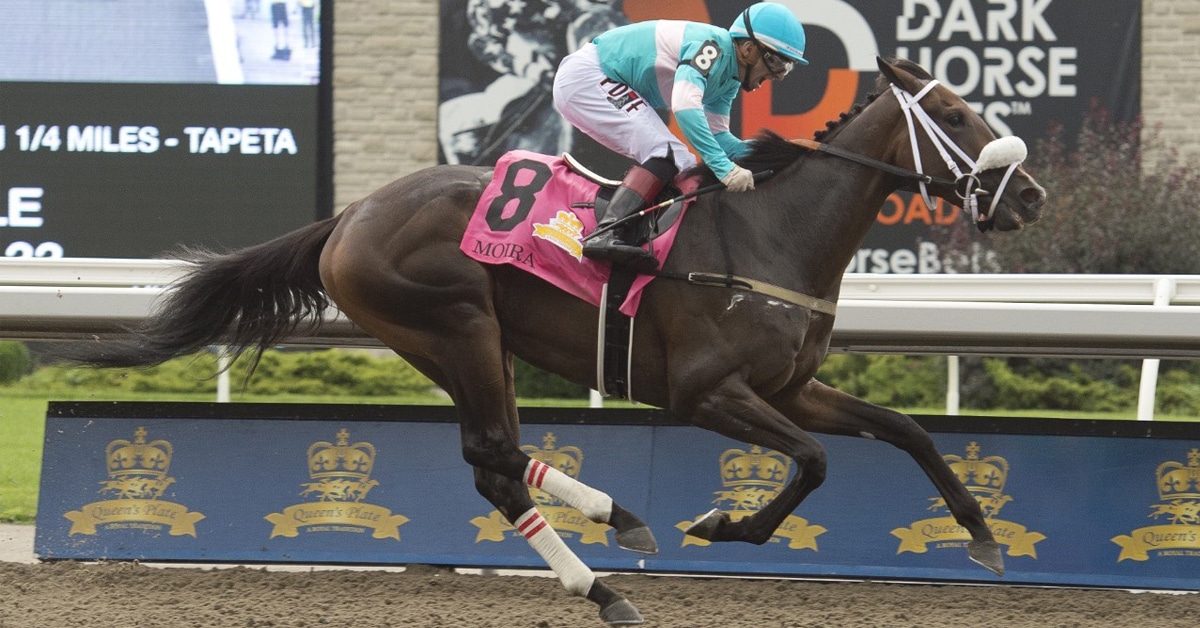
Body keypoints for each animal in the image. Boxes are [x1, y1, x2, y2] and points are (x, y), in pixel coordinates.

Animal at [61, 57, 1045, 625]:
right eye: (958, 116)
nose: (1031, 197)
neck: (773, 233)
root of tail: (350, 213)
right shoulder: (707, 393)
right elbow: (813, 462)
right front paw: (723, 523)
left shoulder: (791, 386)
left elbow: (907, 431)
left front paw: (984, 540)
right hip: (456, 322)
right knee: (496, 454)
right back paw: (614, 540)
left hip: (464, 340)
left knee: (494, 463)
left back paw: (609, 565)